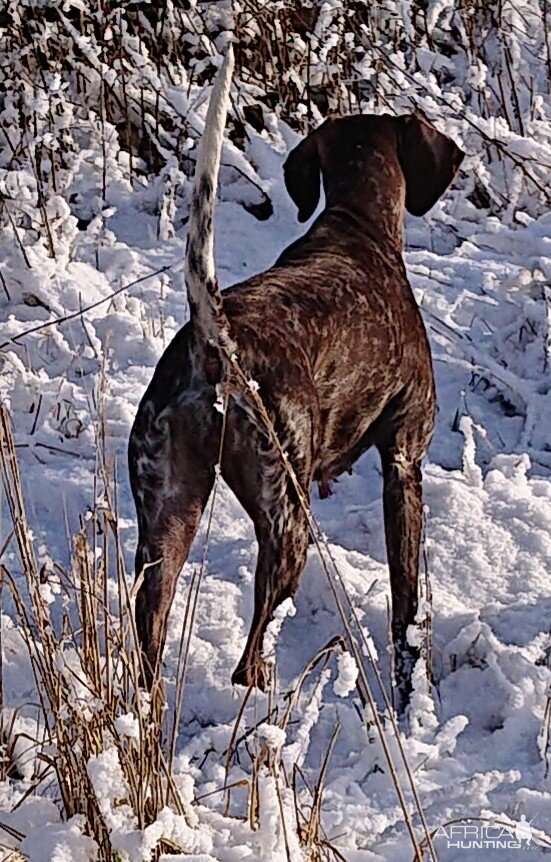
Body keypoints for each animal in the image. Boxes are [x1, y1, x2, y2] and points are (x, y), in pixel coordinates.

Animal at [129, 44, 466, 712]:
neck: (358, 227)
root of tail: (215, 337)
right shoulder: (404, 463)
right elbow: (406, 604)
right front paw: (411, 689)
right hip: (287, 519)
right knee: (249, 657)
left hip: (166, 518)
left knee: (148, 633)